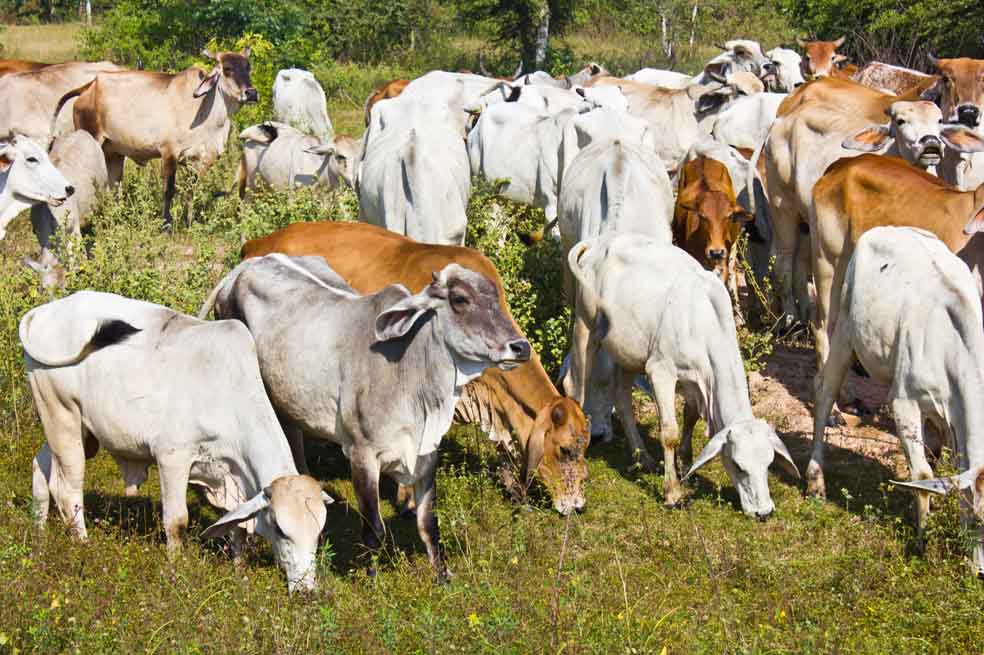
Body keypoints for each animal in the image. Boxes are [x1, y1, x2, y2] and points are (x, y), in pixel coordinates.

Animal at [21, 290, 332, 593]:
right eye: (280, 529)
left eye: (318, 533)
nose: (305, 591)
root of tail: (42, 312)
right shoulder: (172, 458)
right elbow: (177, 521)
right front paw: (176, 573)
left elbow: (236, 527)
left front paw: (240, 572)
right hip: (63, 416)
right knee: (68, 491)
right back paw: (83, 547)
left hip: (75, 429)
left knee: (41, 468)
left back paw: (39, 539)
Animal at [58, 48, 257, 227]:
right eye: (227, 68)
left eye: (248, 67)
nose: (251, 93)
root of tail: (90, 86)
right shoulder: (169, 153)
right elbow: (169, 190)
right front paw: (166, 224)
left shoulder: (198, 160)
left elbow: (191, 191)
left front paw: (189, 222)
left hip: (114, 154)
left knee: (114, 186)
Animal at [199, 254, 532, 580]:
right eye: (460, 299)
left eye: (496, 295)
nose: (521, 347)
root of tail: (244, 267)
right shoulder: (362, 454)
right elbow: (374, 528)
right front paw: (370, 577)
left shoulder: (426, 454)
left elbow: (428, 523)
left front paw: (441, 575)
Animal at [567, 232, 799, 511]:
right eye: (739, 466)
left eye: (768, 464)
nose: (763, 512)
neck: (702, 320)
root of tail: (597, 243)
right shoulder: (660, 371)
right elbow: (670, 432)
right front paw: (673, 491)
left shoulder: (694, 381)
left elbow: (690, 417)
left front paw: (687, 467)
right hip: (585, 325)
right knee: (573, 386)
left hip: (628, 352)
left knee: (621, 398)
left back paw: (643, 458)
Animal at [811, 226, 984, 578]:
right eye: (980, 520)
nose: (983, 573)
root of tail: (888, 228)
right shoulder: (904, 403)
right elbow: (922, 475)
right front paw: (923, 540)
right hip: (845, 328)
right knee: (824, 394)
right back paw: (815, 480)